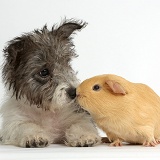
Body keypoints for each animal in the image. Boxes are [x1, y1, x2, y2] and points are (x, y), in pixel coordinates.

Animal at [0, 19, 100, 148]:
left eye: (66, 63)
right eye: (44, 72)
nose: (74, 92)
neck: (47, 110)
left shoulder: (78, 115)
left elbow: (81, 124)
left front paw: (83, 136)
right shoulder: (14, 122)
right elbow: (25, 126)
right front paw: (34, 136)